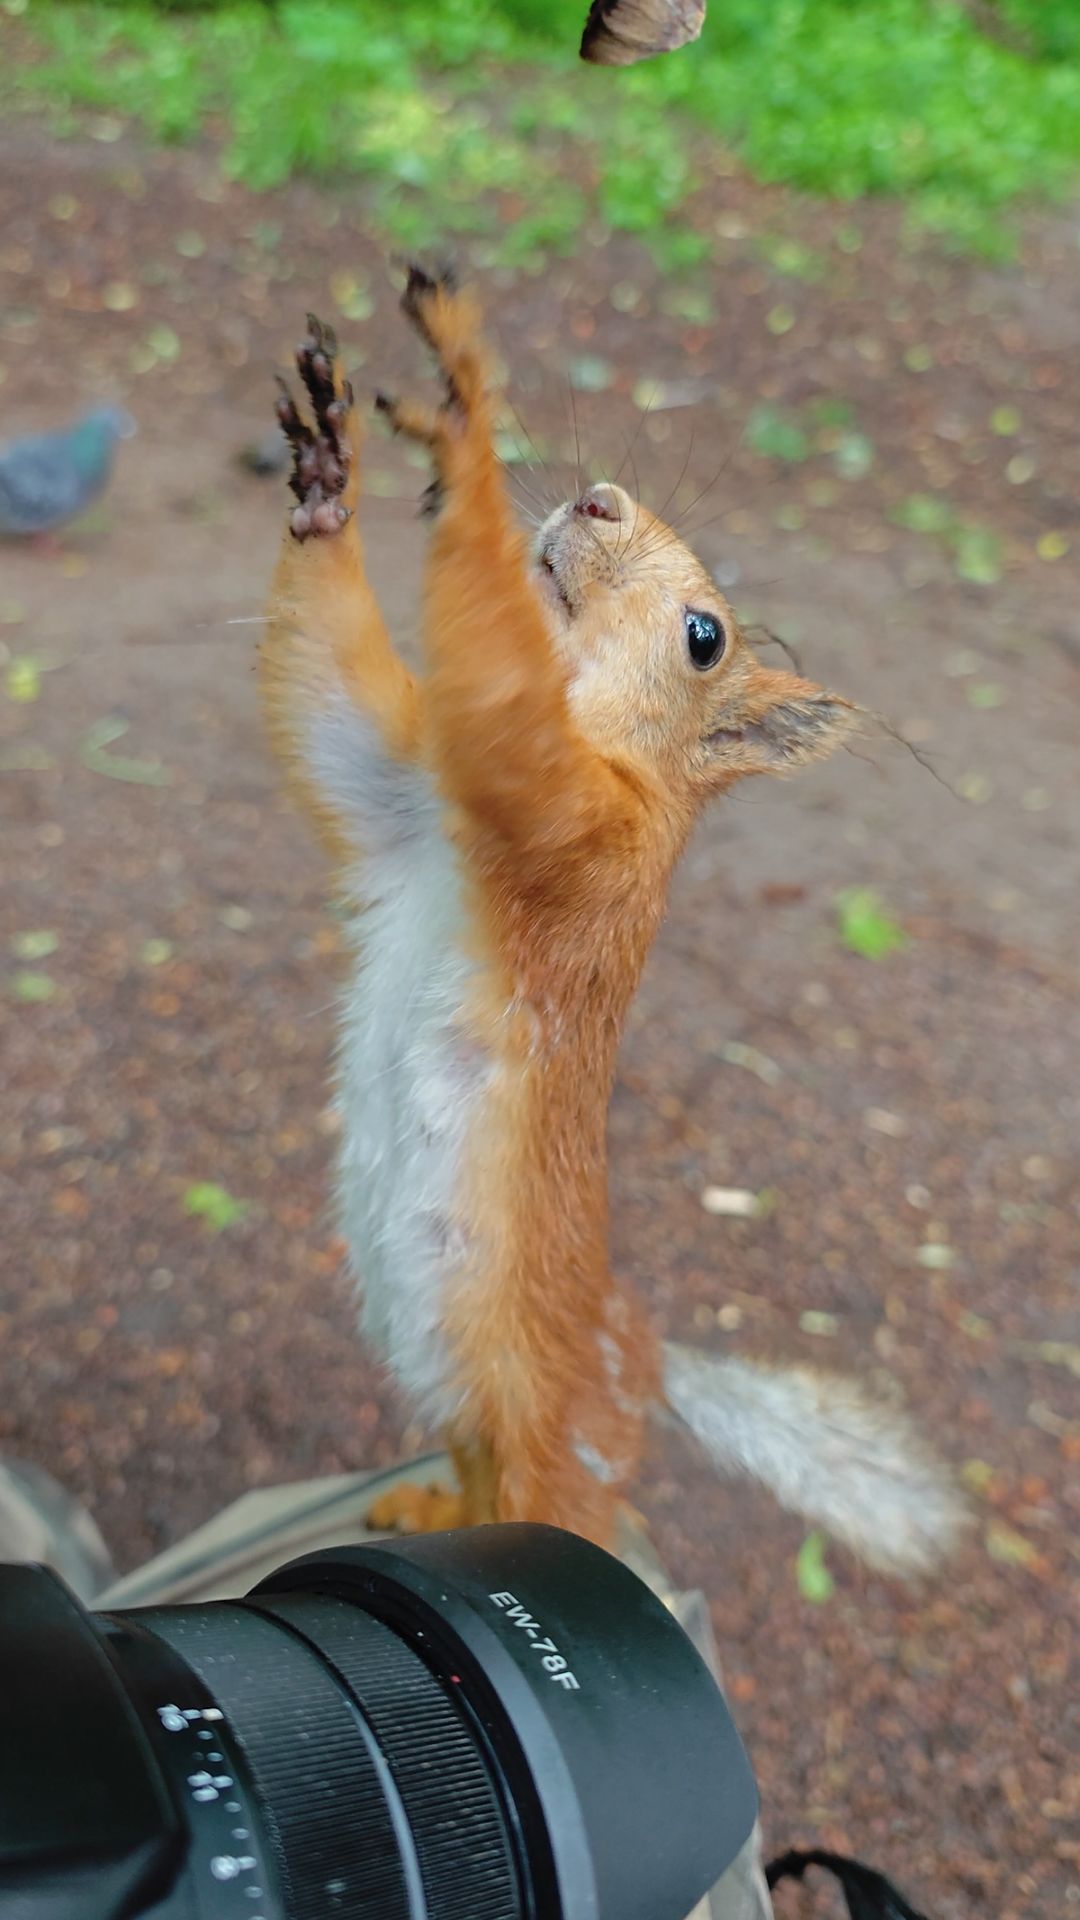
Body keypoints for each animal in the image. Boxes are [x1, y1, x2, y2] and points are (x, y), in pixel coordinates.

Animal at [260, 266, 966, 1574]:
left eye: (706, 636)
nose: (597, 496)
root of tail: (640, 1374)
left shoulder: (581, 841)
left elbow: (504, 699)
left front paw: (466, 414)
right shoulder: (401, 795)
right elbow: (331, 704)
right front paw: (330, 474)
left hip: (558, 1446)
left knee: (545, 1503)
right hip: (469, 1409)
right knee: (473, 1474)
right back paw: (424, 1513)